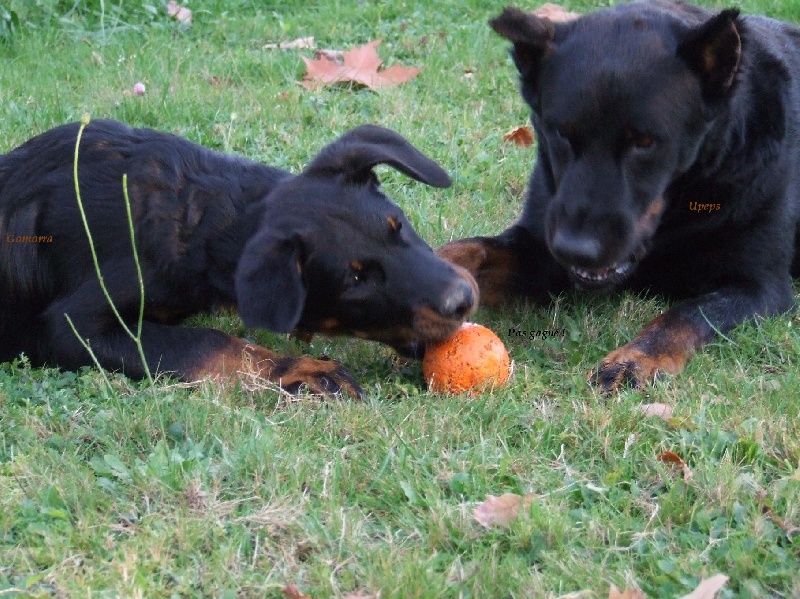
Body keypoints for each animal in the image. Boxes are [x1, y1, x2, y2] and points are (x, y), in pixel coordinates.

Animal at [0, 119, 476, 396]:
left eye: (399, 225)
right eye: (355, 281)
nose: (463, 300)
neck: (200, 215)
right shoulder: (70, 326)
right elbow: (207, 342)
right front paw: (300, 368)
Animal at [438, 0, 800, 392]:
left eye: (644, 142)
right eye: (560, 133)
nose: (576, 249)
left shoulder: (760, 288)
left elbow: (687, 313)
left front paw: (636, 358)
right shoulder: (539, 243)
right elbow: (470, 250)